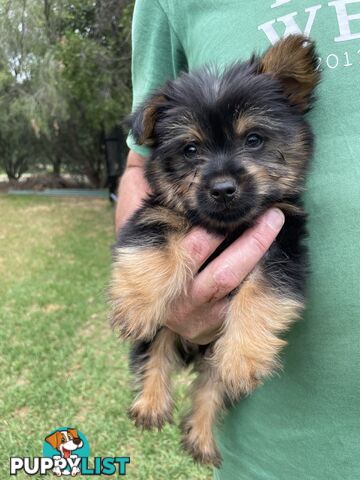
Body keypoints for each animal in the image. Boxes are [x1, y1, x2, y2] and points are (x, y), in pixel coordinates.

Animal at [108, 35, 320, 466]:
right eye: (190, 149)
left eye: (253, 139)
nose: (223, 188)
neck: (224, 227)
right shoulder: (157, 213)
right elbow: (154, 247)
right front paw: (137, 304)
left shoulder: (282, 241)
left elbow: (263, 292)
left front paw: (243, 356)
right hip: (166, 329)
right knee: (155, 353)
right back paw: (150, 404)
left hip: (211, 358)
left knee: (210, 388)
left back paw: (202, 438)